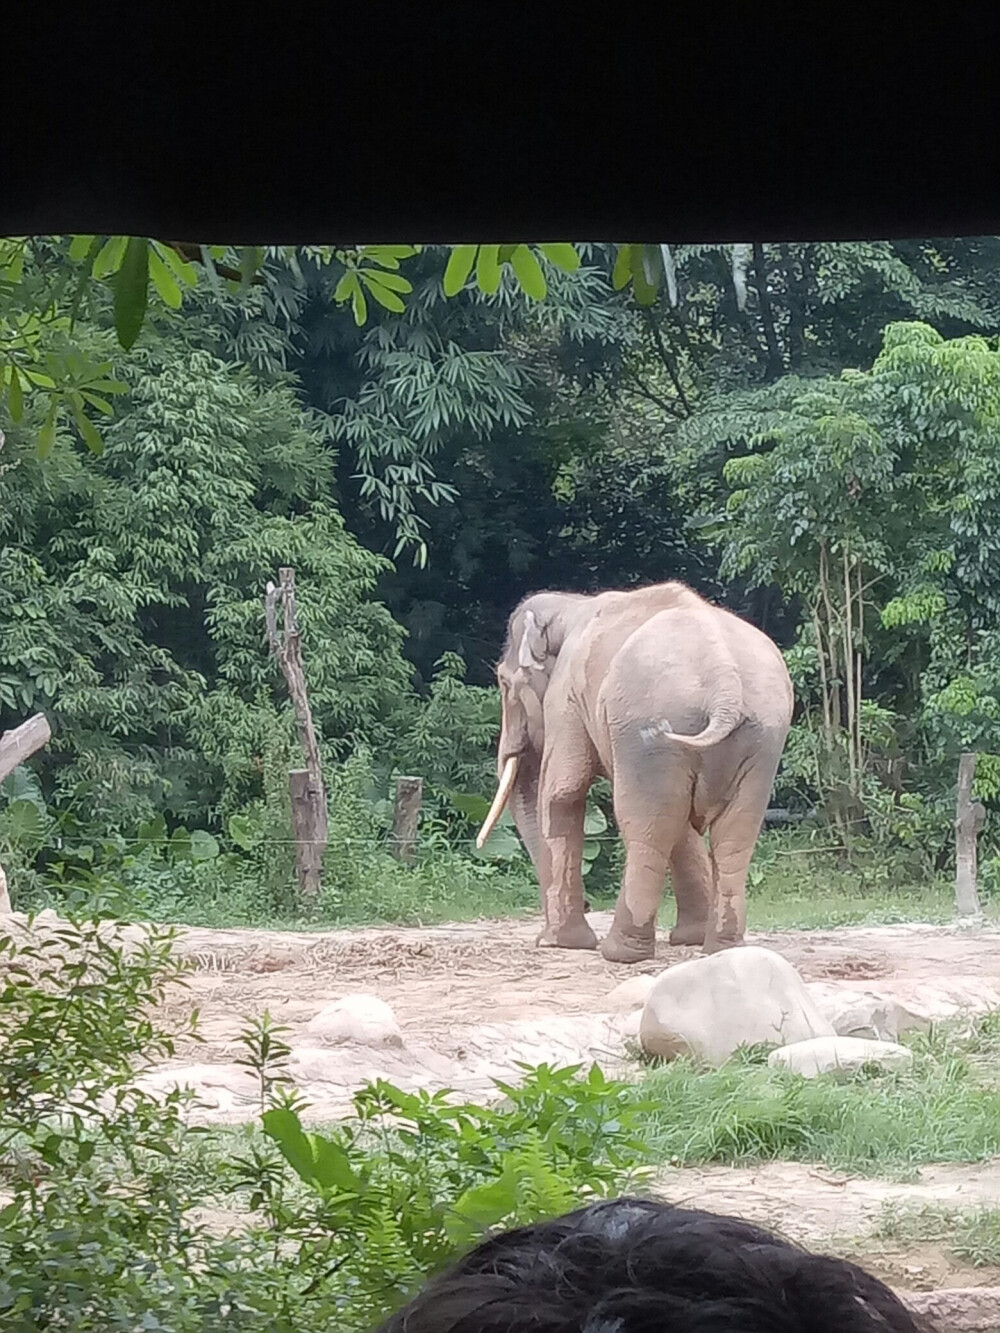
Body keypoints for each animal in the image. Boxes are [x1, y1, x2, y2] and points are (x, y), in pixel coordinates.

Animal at [477, 581, 800, 959]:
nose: (588, 905)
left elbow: (563, 793)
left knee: (648, 824)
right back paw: (721, 949)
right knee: (731, 834)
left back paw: (620, 952)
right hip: (761, 740)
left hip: (649, 731)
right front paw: (688, 938)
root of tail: (725, 687)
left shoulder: (565, 698)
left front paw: (562, 943)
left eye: (502, 682)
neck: (571, 605)